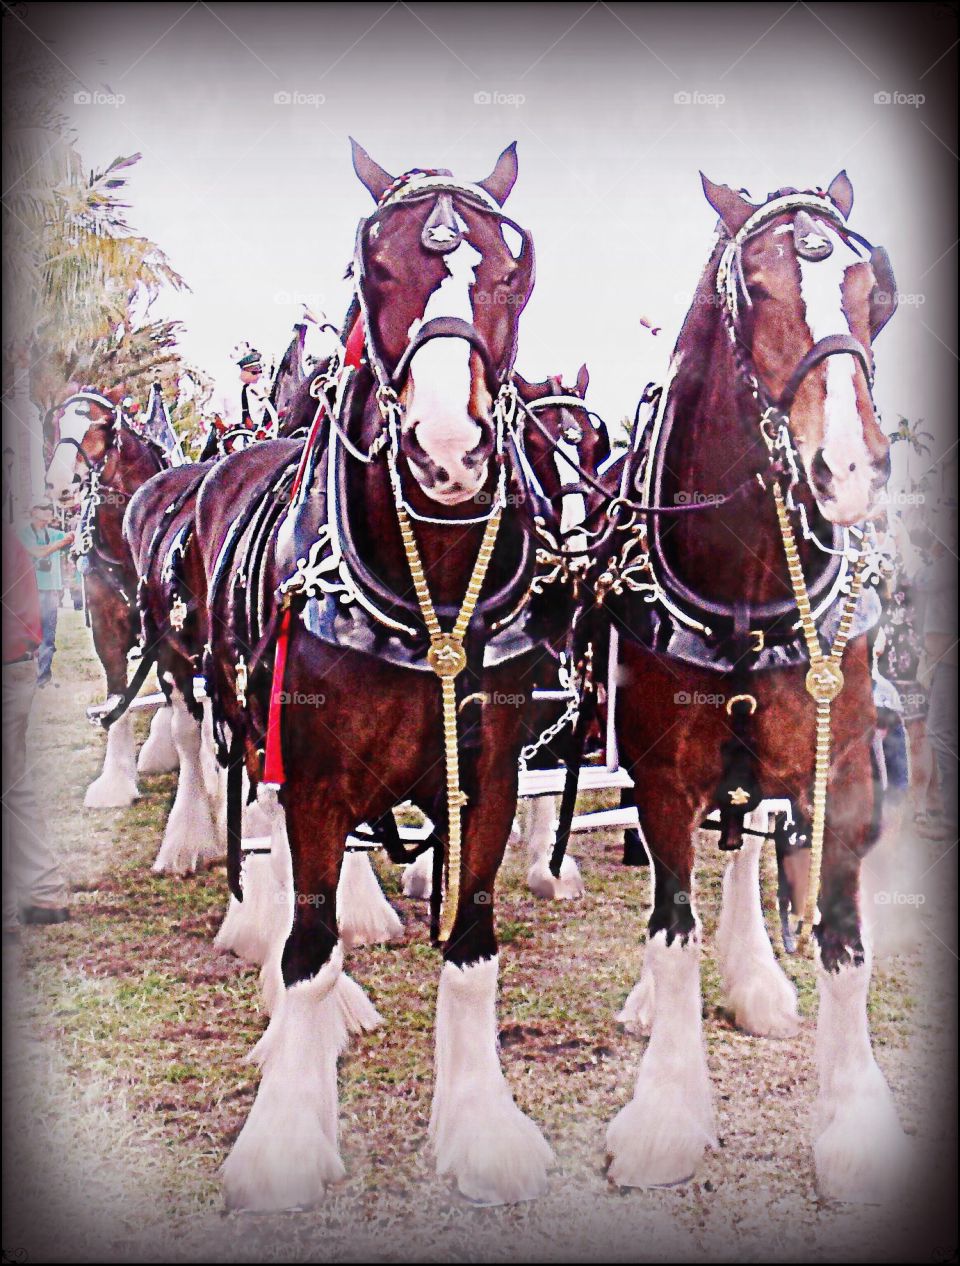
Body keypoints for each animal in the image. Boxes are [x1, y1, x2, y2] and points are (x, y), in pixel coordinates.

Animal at [42, 384, 170, 805]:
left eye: (102, 425)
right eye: (57, 424)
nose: (59, 483)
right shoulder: (105, 629)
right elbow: (117, 696)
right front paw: (115, 781)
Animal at [195, 143, 572, 1210]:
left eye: (514, 273)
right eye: (376, 266)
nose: (447, 450)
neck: (428, 590)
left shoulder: (485, 776)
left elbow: (472, 945)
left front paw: (480, 1131)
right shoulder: (317, 778)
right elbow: (310, 947)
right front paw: (285, 1138)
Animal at [595, 173, 911, 1200]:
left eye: (873, 290)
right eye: (760, 287)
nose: (849, 470)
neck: (743, 583)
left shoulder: (842, 773)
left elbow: (845, 942)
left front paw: (854, 1121)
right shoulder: (659, 774)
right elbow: (671, 928)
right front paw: (666, 1113)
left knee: (740, 842)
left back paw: (758, 982)